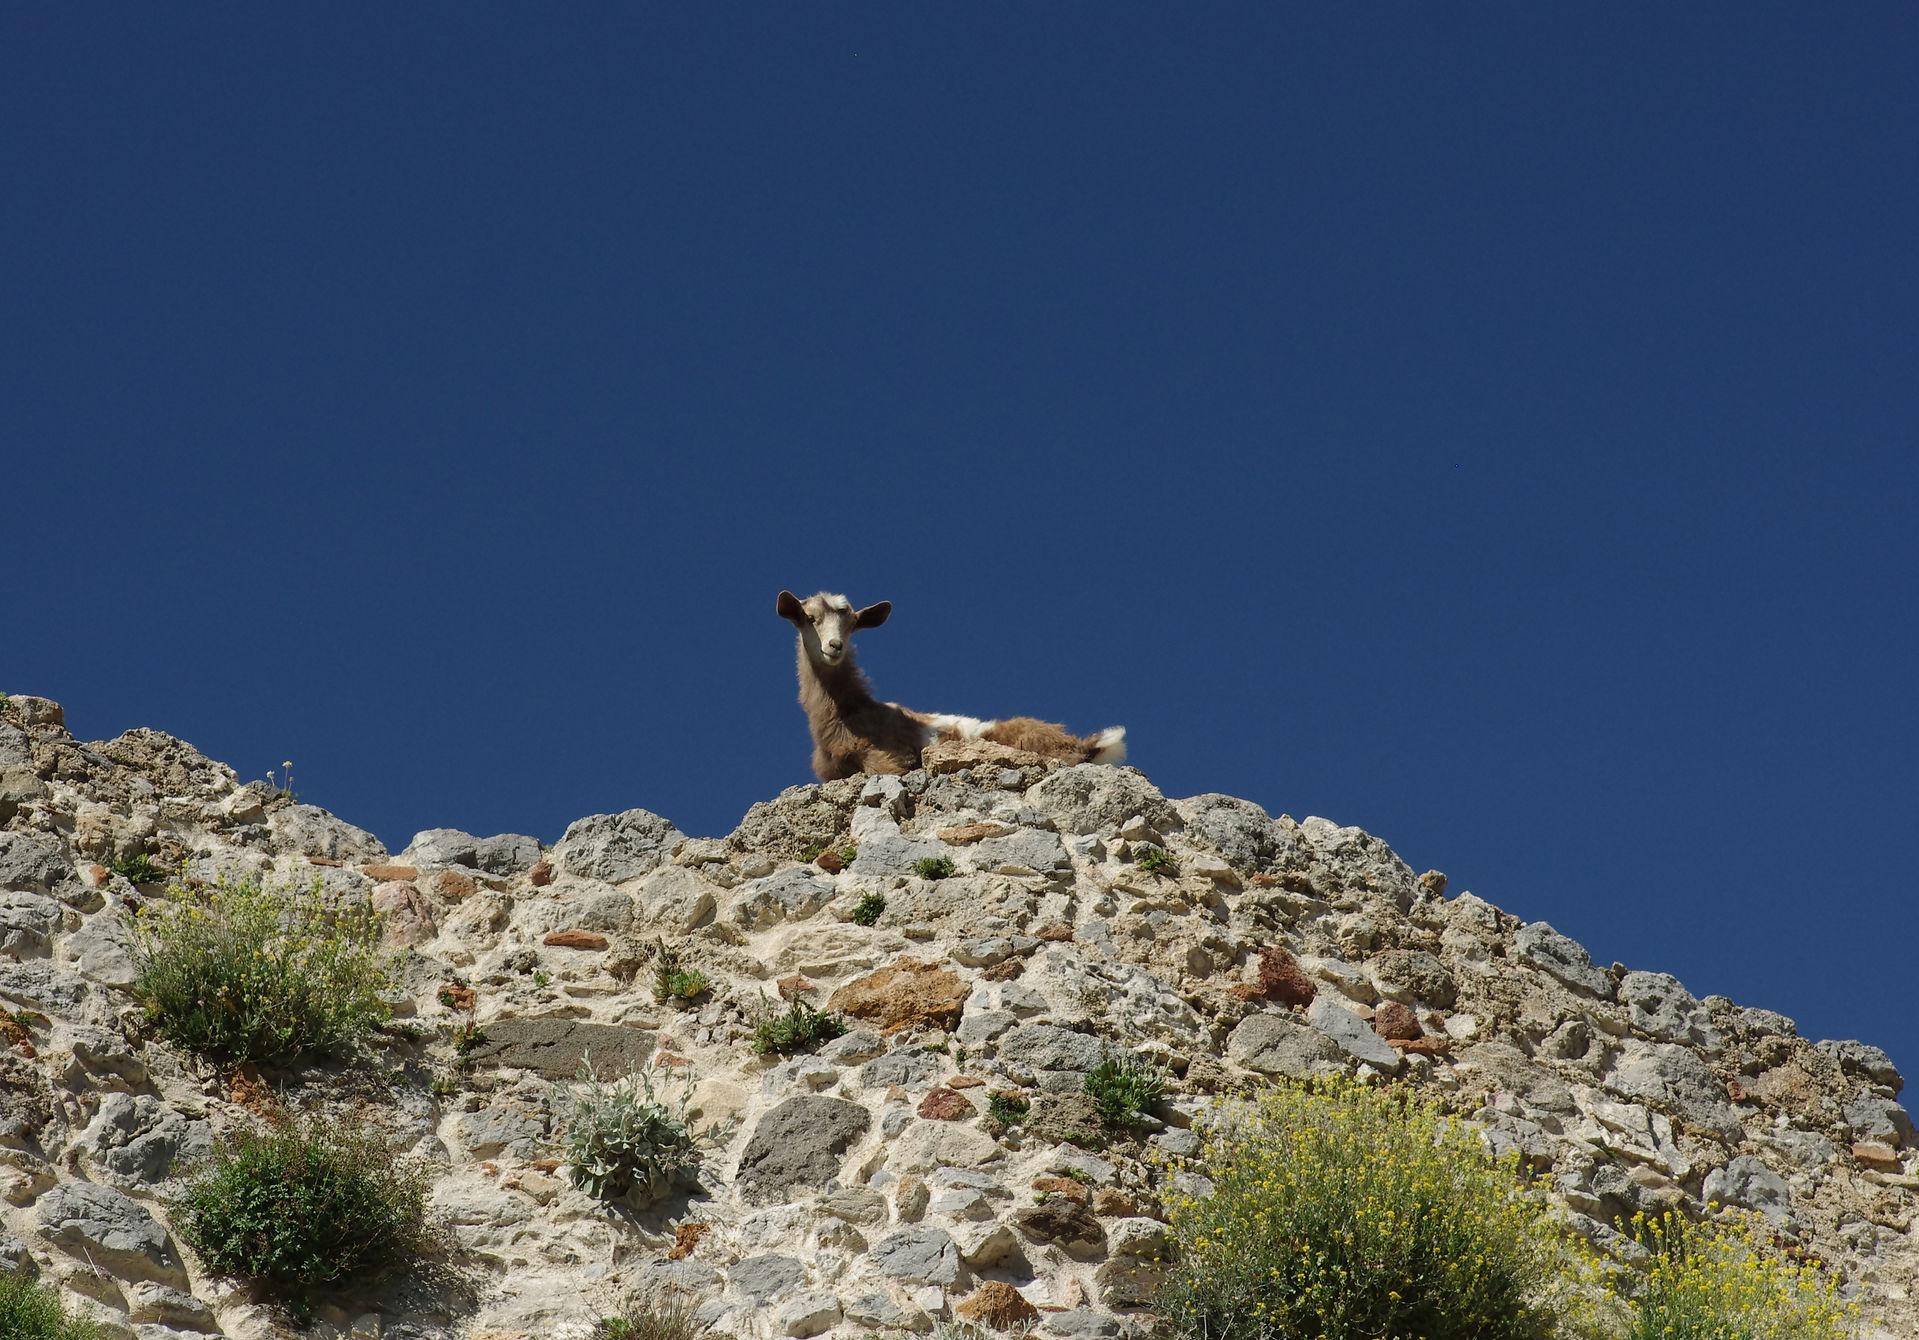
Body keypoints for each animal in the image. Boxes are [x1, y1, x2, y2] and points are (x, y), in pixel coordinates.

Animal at [777, 589, 1127, 781]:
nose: (834, 646)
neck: (850, 710)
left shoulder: (885, 757)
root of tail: (1085, 746)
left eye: (851, 625)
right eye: (810, 618)